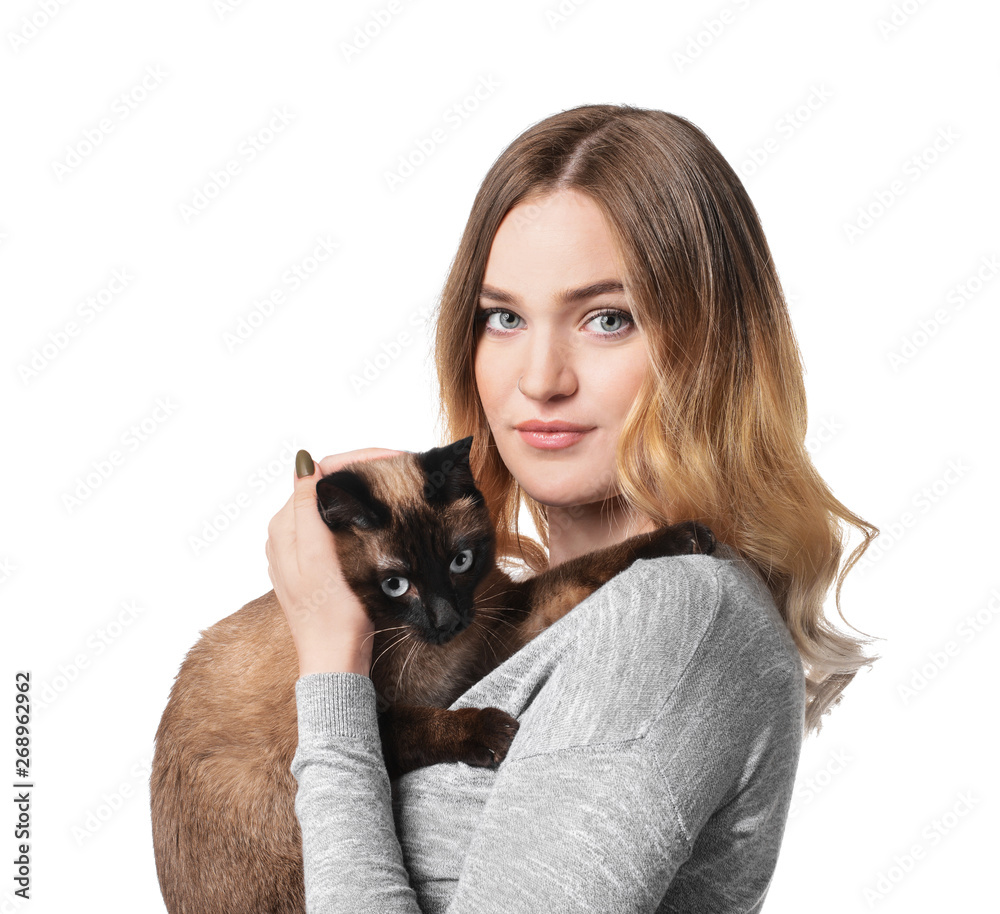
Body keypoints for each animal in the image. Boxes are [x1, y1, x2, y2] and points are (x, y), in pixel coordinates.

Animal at [150, 434, 712, 912]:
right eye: (396, 584)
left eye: (460, 561)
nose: (447, 620)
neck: (433, 652)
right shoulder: (373, 719)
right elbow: (425, 722)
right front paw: (492, 732)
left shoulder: (496, 636)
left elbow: (593, 567)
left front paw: (688, 537)